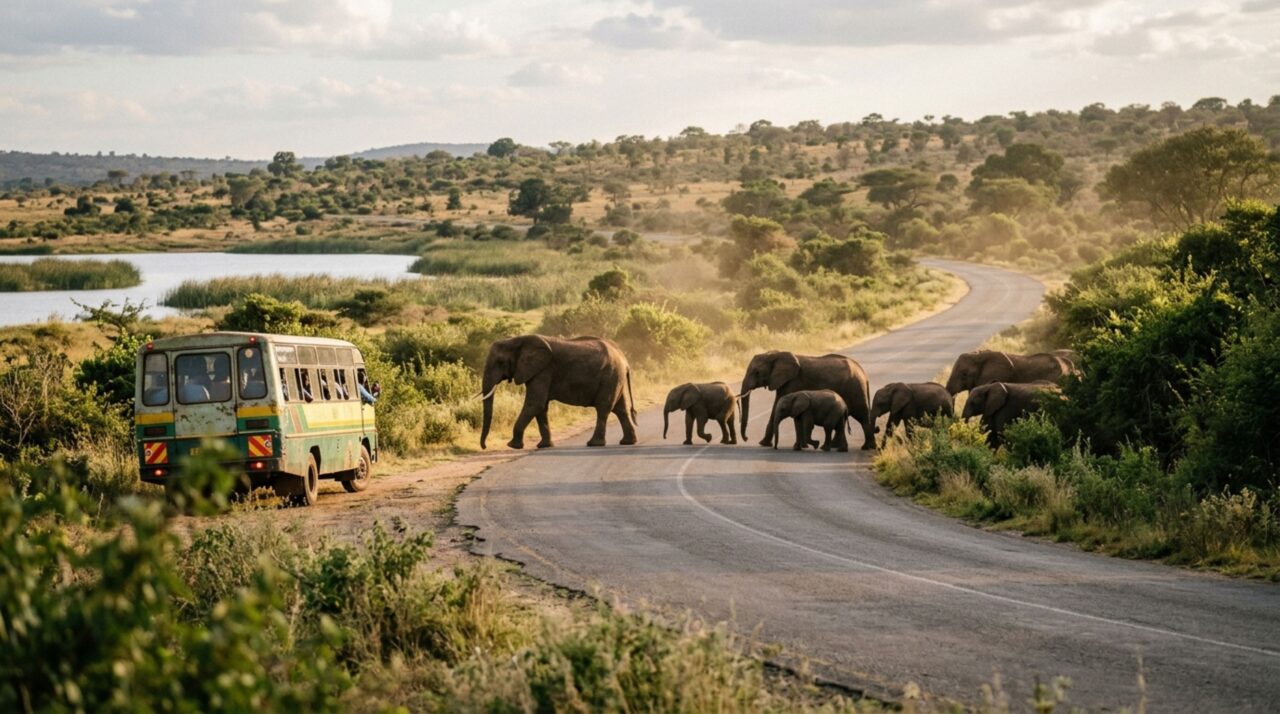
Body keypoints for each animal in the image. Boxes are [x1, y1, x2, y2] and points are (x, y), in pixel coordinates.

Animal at [479, 334, 638, 450]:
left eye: (500, 362)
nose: (484, 447)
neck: (517, 340)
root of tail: (625, 361)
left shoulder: (543, 371)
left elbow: (535, 404)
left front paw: (512, 446)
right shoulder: (539, 372)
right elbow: (541, 407)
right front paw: (544, 446)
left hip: (610, 377)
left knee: (604, 408)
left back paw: (594, 444)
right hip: (616, 378)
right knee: (621, 409)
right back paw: (627, 442)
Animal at [738, 351, 875, 450]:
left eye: (757, 372)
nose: (746, 438)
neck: (775, 354)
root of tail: (864, 374)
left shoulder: (792, 383)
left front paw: (763, 444)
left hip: (855, 389)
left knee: (863, 418)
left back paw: (867, 448)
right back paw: (837, 446)